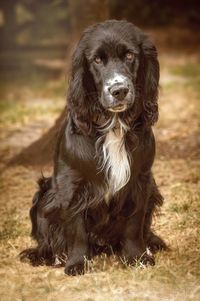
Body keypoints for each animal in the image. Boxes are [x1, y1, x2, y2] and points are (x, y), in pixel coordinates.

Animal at [20, 19, 167, 274]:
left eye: (130, 55)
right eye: (97, 60)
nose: (119, 90)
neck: (114, 126)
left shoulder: (141, 180)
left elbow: (134, 223)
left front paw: (136, 257)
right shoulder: (72, 185)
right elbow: (76, 228)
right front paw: (77, 263)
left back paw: (151, 242)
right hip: (45, 193)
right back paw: (49, 255)